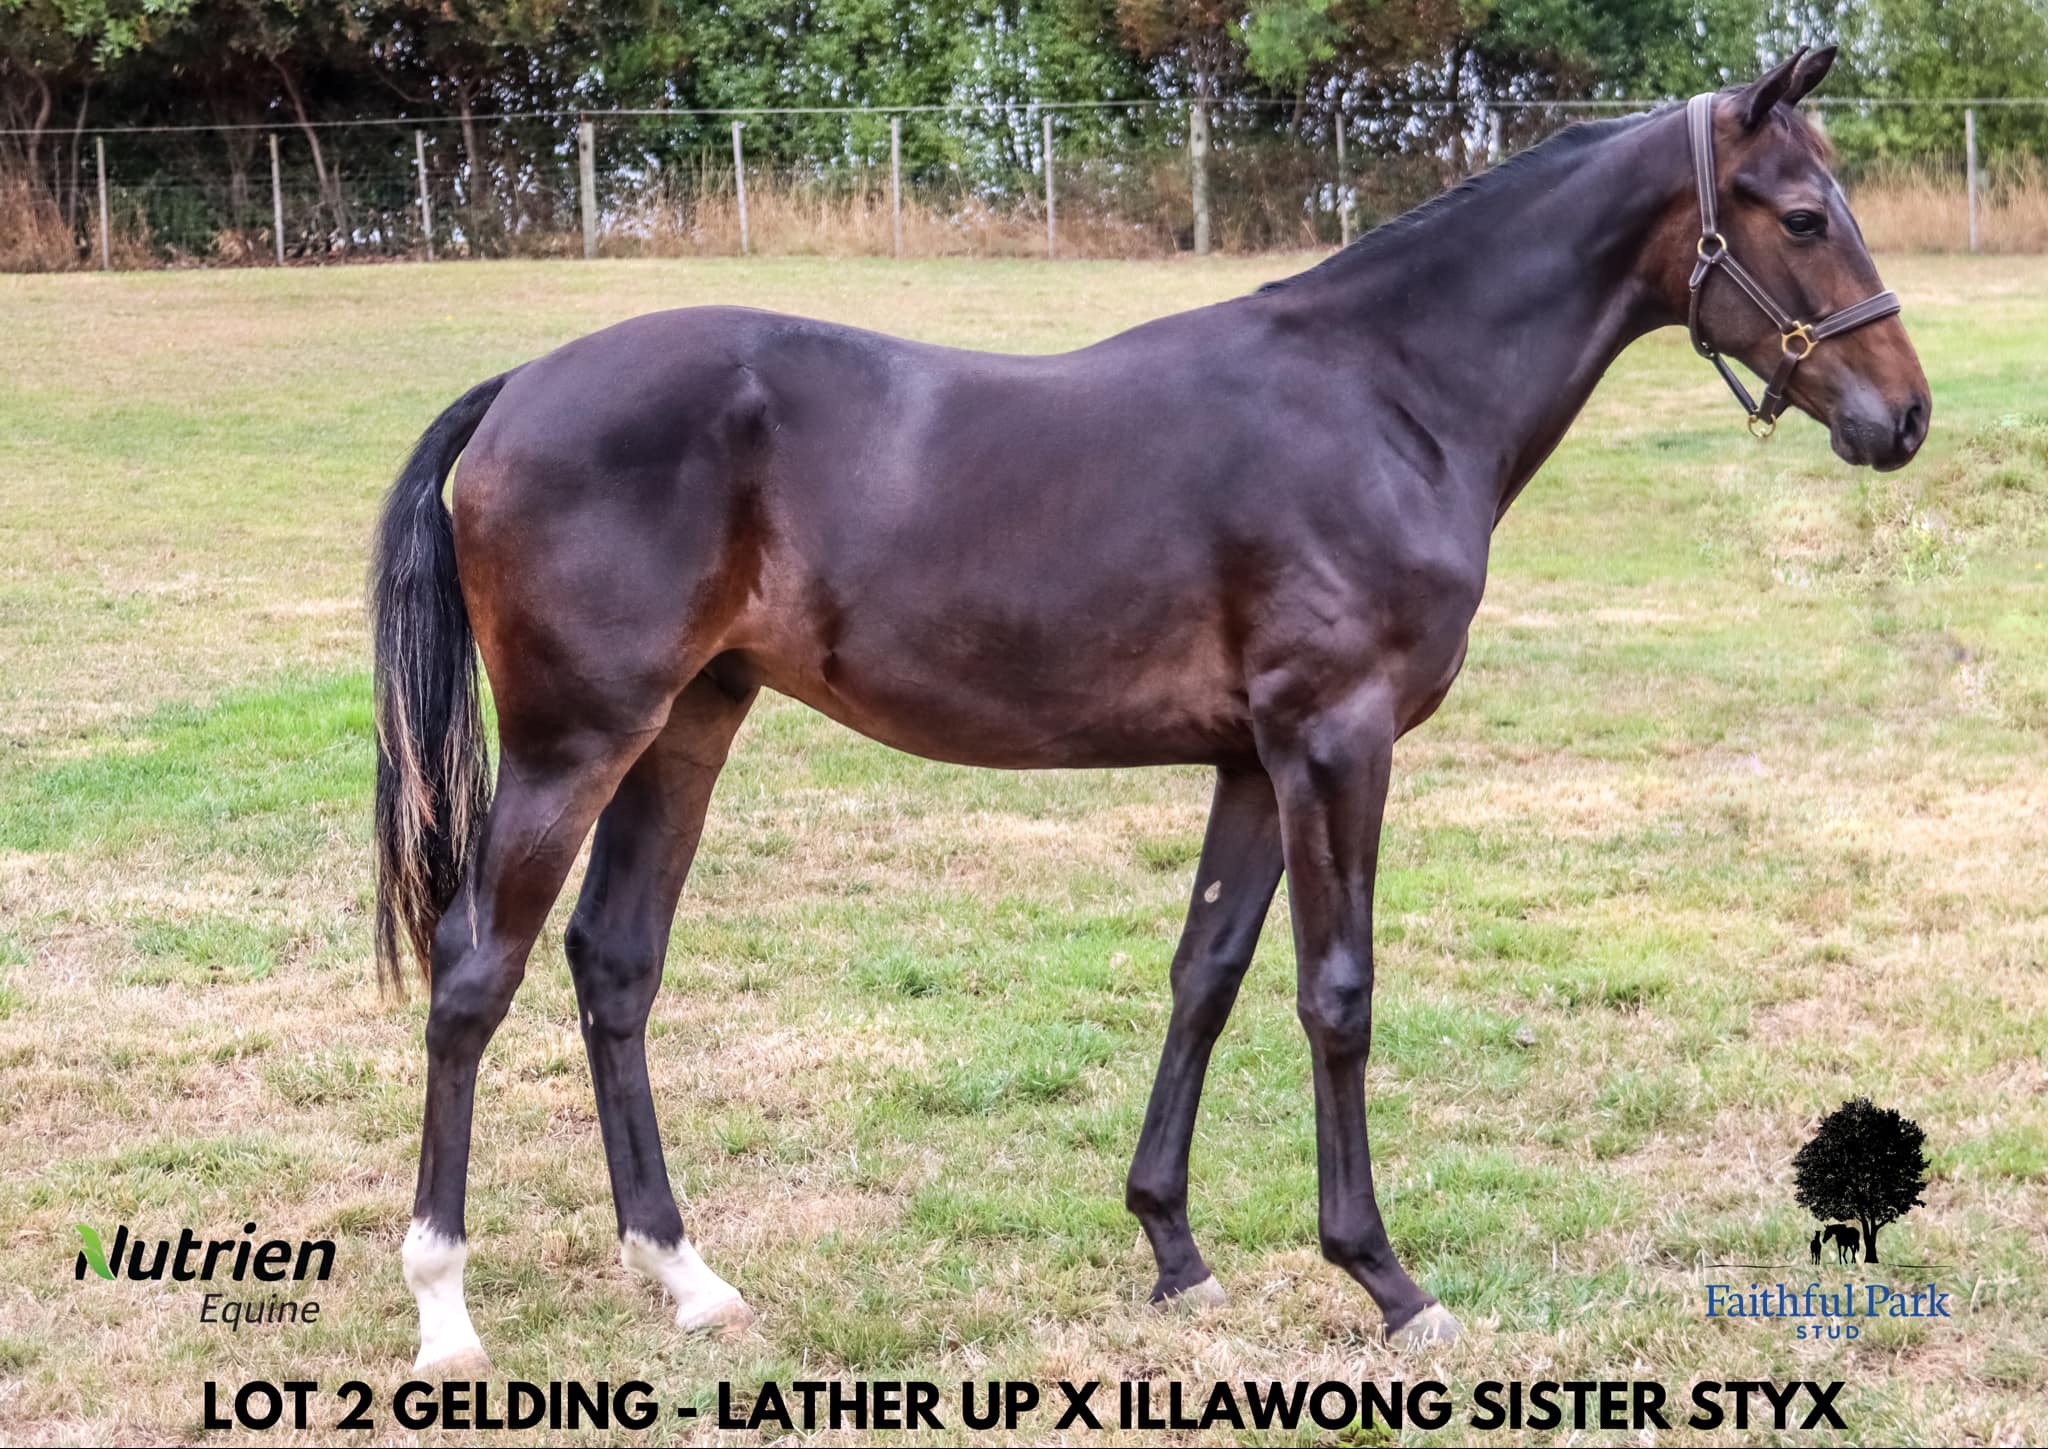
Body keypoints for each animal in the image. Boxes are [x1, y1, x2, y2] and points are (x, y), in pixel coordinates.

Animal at [369, 47, 1926, 1371]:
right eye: (1801, 215)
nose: (1901, 418)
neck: (1389, 397)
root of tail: (521, 388)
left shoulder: (1251, 759)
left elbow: (1207, 977)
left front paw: (1174, 1249)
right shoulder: (1334, 742)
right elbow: (1335, 992)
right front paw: (1384, 1278)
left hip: (688, 723)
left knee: (614, 965)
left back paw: (686, 1277)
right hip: (574, 745)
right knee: (474, 972)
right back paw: (444, 1309)